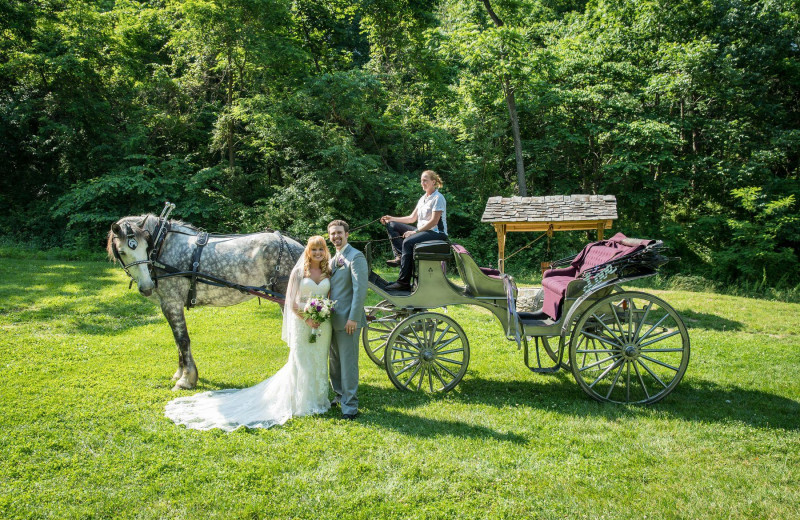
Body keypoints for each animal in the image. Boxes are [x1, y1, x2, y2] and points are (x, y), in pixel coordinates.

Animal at [106, 214, 304, 390]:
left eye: (145, 246)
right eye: (123, 251)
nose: (146, 286)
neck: (162, 245)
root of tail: (300, 247)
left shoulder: (171, 302)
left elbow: (182, 340)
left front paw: (186, 380)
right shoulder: (169, 304)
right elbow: (177, 341)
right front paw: (180, 373)